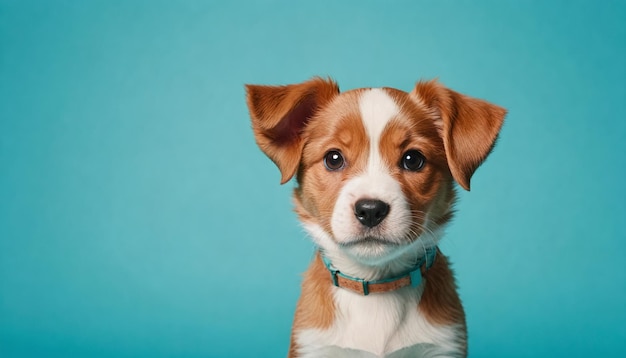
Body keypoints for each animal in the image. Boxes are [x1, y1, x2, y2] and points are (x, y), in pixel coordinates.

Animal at [244, 78, 502, 358]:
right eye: (333, 158)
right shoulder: (313, 345)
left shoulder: (443, 346)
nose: (370, 210)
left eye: (413, 159)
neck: (376, 285)